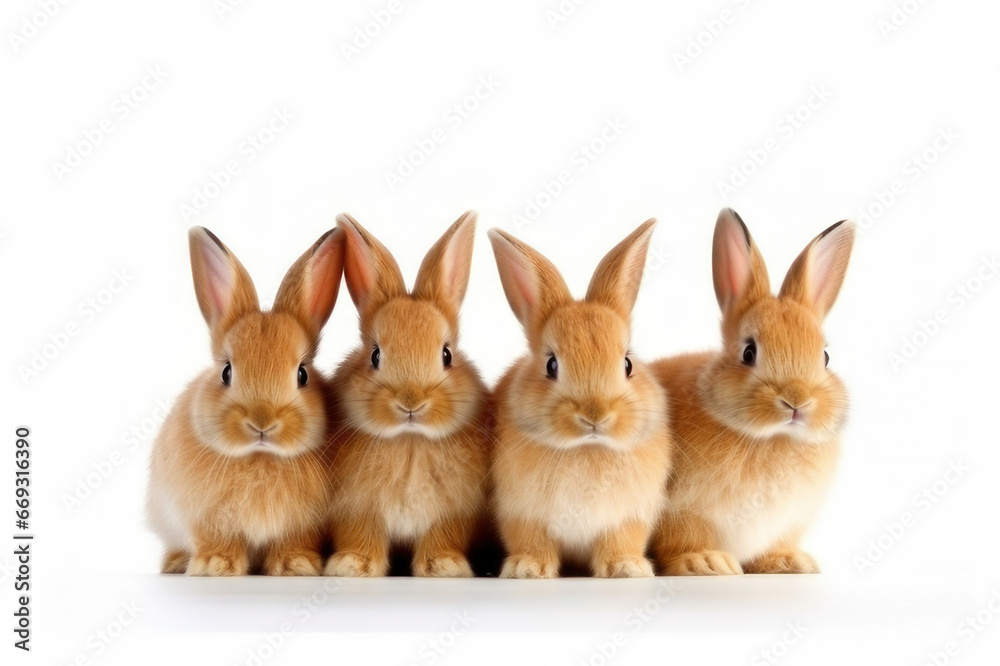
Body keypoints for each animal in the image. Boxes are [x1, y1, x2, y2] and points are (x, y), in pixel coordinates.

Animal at [146, 226, 345, 576]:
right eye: (226, 371)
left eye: (302, 375)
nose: (262, 423)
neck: (260, 457)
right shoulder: (206, 518)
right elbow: (217, 540)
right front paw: (215, 566)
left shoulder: (303, 526)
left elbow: (293, 542)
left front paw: (296, 565)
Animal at [324, 211, 492, 578]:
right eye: (375, 355)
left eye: (447, 355)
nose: (411, 403)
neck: (410, 441)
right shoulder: (355, 509)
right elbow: (361, 534)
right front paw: (351, 565)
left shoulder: (453, 513)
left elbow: (441, 536)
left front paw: (444, 566)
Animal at [487, 219, 671, 578]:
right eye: (551, 365)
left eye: (627, 364)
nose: (595, 415)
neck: (587, 449)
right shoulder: (522, 513)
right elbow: (531, 540)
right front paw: (527, 568)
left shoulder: (627, 517)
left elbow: (620, 541)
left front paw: (625, 567)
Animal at [650, 208, 855, 576]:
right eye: (748, 353)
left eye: (825, 357)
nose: (796, 401)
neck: (773, 437)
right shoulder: (684, 514)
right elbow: (683, 542)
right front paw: (705, 562)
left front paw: (791, 562)